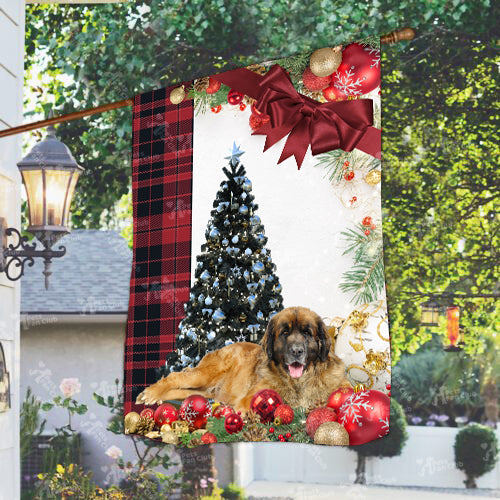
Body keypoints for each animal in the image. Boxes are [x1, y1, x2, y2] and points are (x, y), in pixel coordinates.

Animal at [135, 306, 350, 412]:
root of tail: (225, 346)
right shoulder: (250, 397)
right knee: (175, 376)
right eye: (285, 333)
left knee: (183, 392)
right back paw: (151, 393)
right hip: (205, 375)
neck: (298, 383)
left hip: (205, 391)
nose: (296, 351)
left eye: (307, 333)